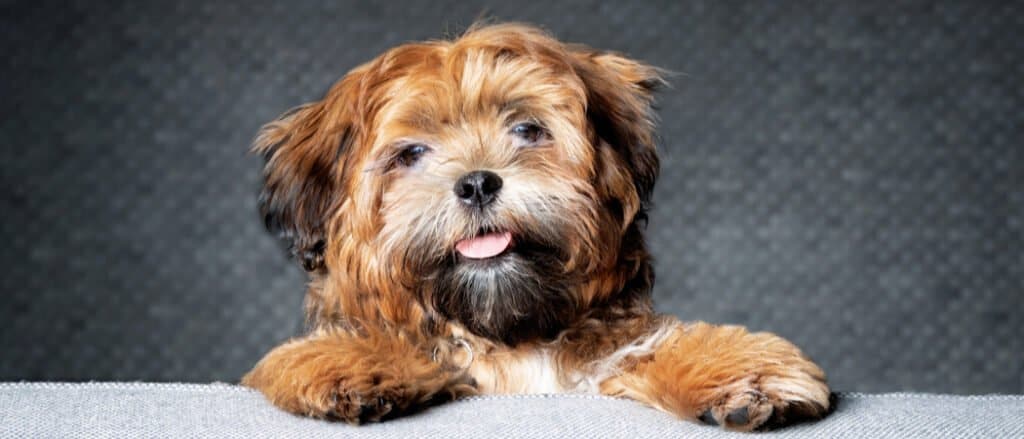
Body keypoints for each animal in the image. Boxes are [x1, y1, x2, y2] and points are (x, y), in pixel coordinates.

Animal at [241, 22, 831, 429]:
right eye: (411, 153)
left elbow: (647, 347)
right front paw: (347, 362)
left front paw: (744, 373)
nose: (478, 183)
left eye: (527, 129)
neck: (510, 338)